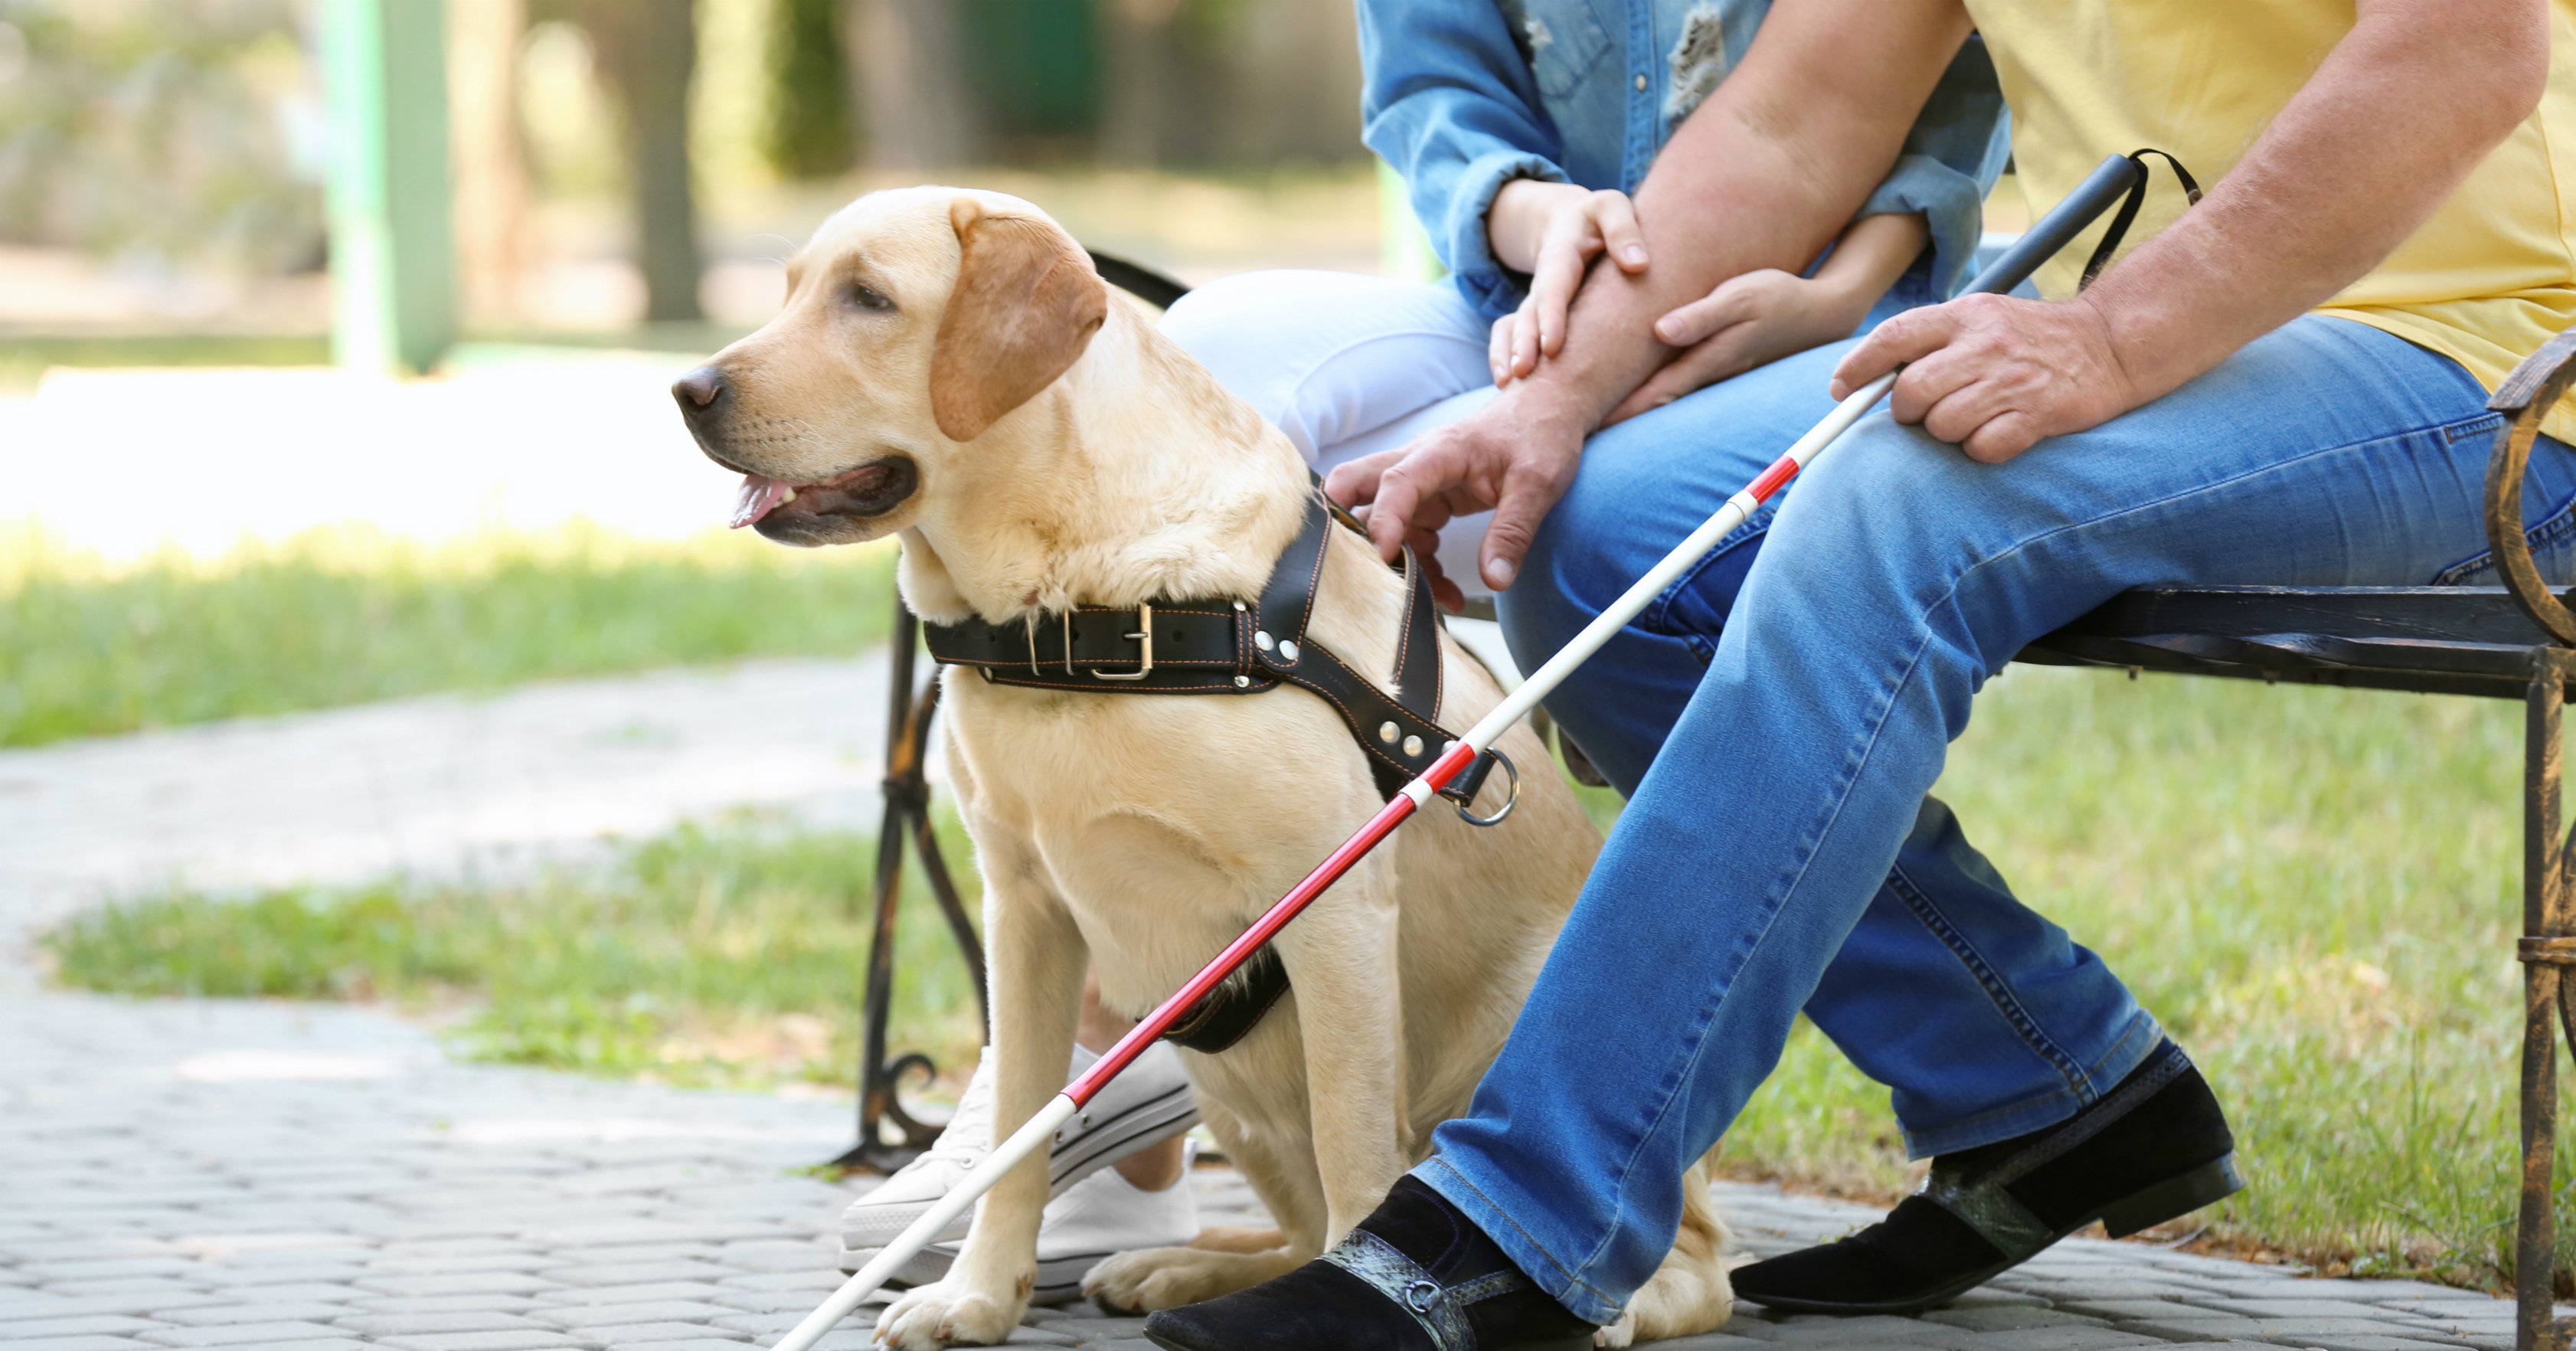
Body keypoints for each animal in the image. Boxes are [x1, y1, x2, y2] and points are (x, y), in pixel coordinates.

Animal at [675, 184, 1741, 1340]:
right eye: (789, 291)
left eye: (868, 299)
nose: (687, 389)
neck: (1072, 611)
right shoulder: (1025, 911)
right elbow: (1016, 1135)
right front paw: (981, 1296)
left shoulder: (1333, 909)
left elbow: (1358, 1152)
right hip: (1218, 1078)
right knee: (1299, 1229)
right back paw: (1182, 1267)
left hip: (1520, 1031)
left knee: (1689, 1262)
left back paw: (1615, 1306)